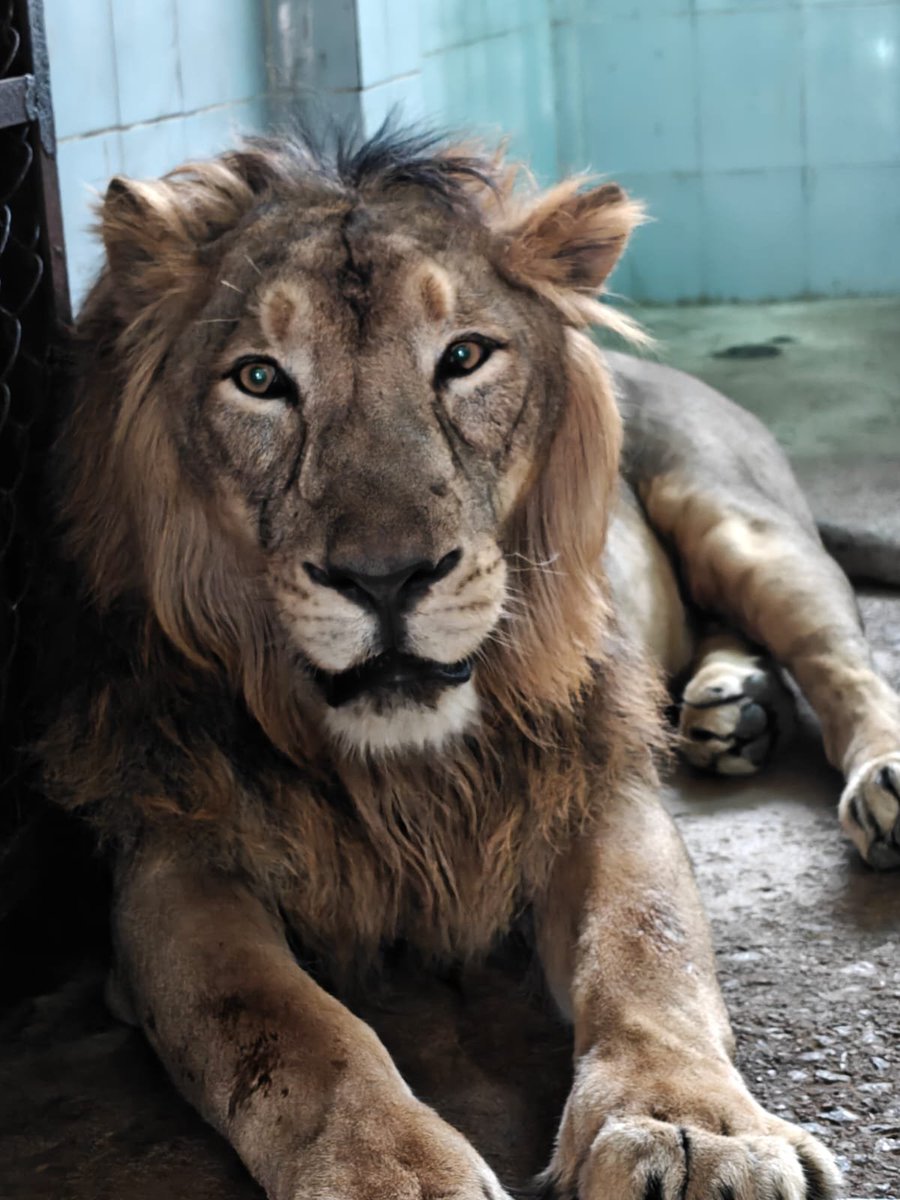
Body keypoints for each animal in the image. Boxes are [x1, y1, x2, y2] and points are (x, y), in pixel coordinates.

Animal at [41, 127, 900, 1200]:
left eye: (464, 357)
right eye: (260, 379)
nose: (387, 578)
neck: (405, 764)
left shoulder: (596, 786)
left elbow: (646, 946)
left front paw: (696, 1130)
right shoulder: (174, 862)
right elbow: (287, 1028)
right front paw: (385, 1172)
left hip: (742, 522)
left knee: (841, 657)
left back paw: (875, 776)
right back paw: (727, 705)